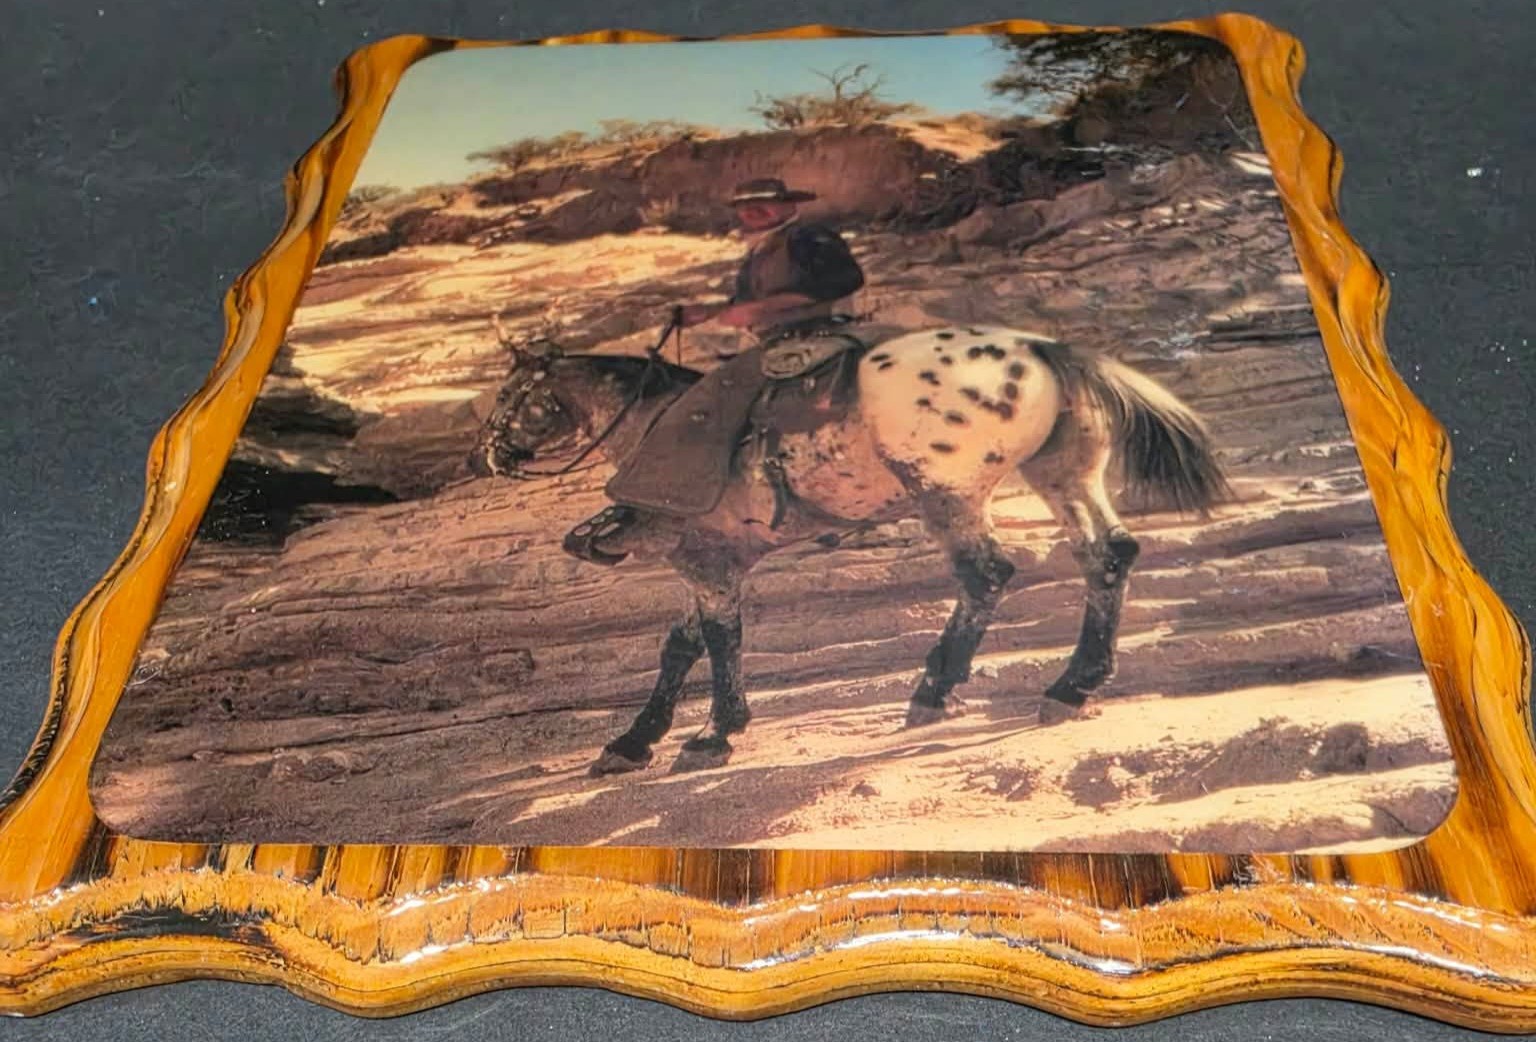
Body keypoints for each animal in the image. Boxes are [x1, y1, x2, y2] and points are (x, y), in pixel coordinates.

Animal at [467, 322, 1231, 775]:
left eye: (509, 395)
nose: (485, 457)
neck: (656, 424)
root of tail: (1044, 349)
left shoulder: (707, 563)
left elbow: (717, 641)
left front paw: (715, 732)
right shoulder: (714, 560)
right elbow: (680, 648)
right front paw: (634, 741)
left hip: (947, 492)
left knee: (986, 574)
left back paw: (935, 688)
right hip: (1064, 474)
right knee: (1108, 556)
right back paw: (1073, 684)